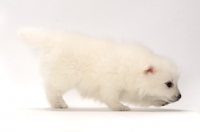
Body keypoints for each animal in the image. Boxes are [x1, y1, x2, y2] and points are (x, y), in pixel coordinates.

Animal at [19, 28, 181, 111]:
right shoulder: (110, 84)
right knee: (50, 88)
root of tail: (54, 41)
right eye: (169, 83)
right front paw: (121, 107)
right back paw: (60, 102)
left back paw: (57, 105)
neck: (131, 69)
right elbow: (111, 99)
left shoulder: (133, 90)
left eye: (175, 82)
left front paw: (160, 101)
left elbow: (144, 98)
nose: (179, 96)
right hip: (64, 76)